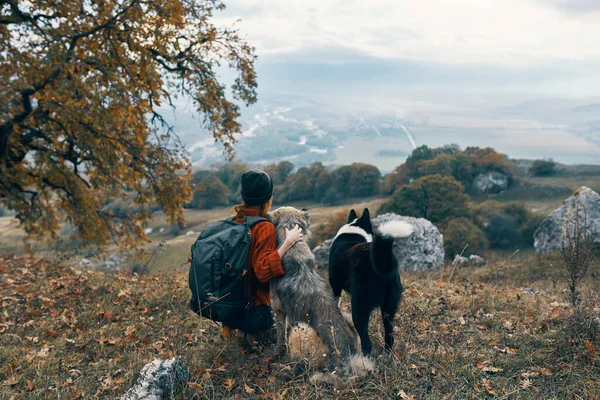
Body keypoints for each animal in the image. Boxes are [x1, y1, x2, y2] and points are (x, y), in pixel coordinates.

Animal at [268, 208, 360, 370]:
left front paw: (277, 352)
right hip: (349, 317)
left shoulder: (278, 309)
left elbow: (280, 335)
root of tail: (348, 356)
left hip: (299, 329)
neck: (294, 249)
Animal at [328, 208, 412, 354]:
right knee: (389, 336)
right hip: (389, 307)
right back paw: (387, 354)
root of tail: (380, 263)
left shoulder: (335, 286)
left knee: (366, 342)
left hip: (359, 307)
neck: (353, 230)